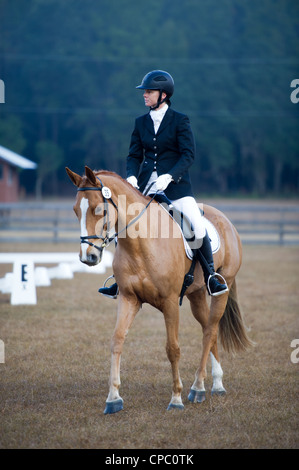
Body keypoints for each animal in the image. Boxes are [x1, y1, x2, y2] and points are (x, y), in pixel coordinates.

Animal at [66, 166, 253, 414]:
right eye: (76, 210)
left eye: (99, 209)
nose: (88, 257)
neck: (140, 243)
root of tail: (226, 220)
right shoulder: (128, 298)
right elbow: (117, 340)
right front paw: (113, 398)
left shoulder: (170, 301)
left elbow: (172, 348)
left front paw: (176, 398)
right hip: (196, 294)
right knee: (208, 329)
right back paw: (214, 384)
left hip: (224, 286)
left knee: (211, 330)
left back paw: (197, 388)